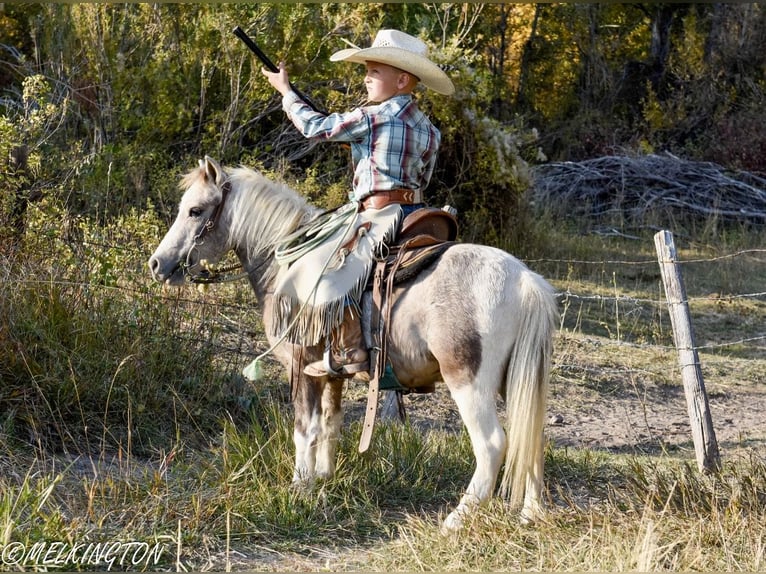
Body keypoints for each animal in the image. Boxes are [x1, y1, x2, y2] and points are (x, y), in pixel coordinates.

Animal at [148, 158, 560, 536]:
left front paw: (299, 487)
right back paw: (531, 514)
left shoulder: (300, 367)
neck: (285, 267)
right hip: (517, 381)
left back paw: (455, 521)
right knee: (532, 435)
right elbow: (330, 424)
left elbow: (304, 428)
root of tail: (525, 280)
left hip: (469, 383)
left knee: (492, 445)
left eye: (195, 210)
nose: (157, 264)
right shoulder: (330, 374)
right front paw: (323, 477)